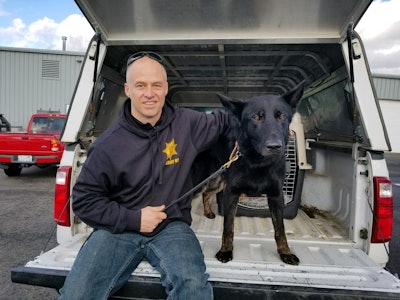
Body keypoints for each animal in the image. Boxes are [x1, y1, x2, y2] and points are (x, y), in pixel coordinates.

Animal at [193, 82, 304, 264]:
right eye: (256, 118)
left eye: (281, 116)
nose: (275, 146)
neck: (258, 162)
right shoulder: (231, 193)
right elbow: (228, 227)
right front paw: (225, 250)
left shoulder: (275, 196)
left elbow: (280, 229)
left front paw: (285, 252)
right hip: (202, 182)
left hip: (219, 181)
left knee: (206, 193)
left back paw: (208, 212)